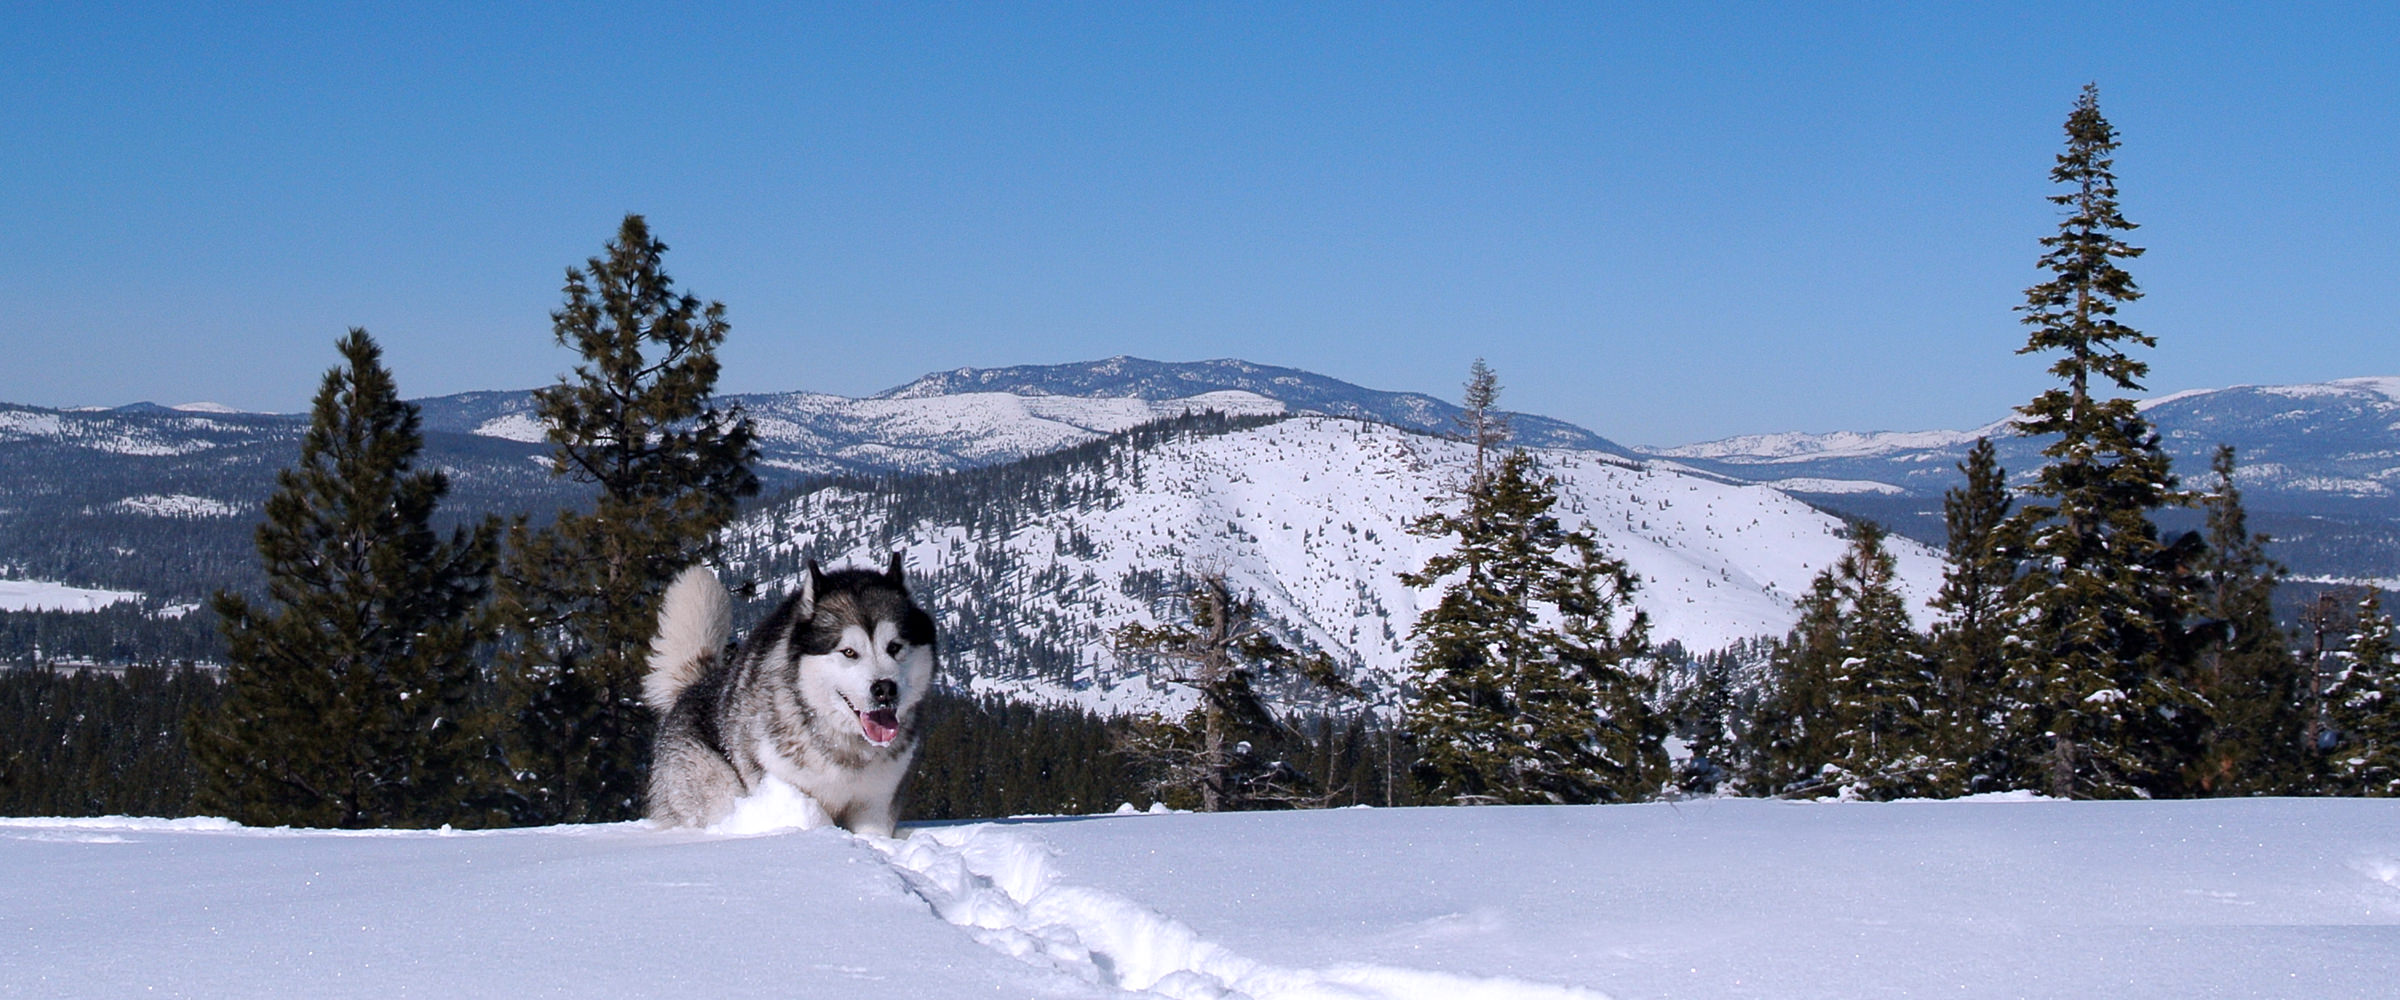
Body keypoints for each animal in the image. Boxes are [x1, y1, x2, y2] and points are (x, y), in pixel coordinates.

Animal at [638, 553, 936, 834]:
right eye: (849, 652)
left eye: (894, 647)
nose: (885, 689)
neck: (843, 746)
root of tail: (694, 685)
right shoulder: (786, 789)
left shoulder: (875, 804)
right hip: (715, 787)